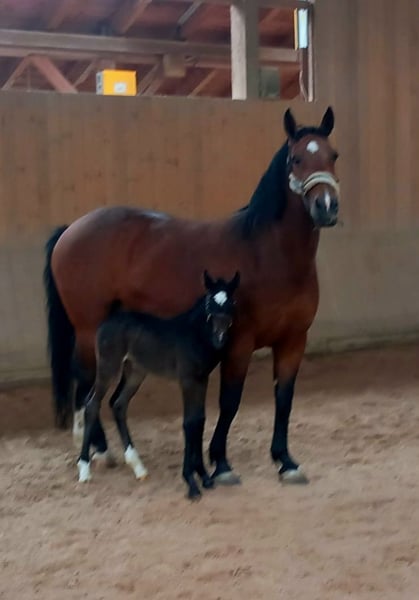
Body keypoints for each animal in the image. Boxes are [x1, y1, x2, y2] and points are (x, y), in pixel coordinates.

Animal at [77, 270, 240, 500]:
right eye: (210, 302)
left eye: (231, 303)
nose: (220, 339)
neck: (194, 333)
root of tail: (107, 321)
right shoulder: (187, 380)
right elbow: (189, 423)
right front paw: (191, 482)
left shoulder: (201, 380)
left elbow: (200, 420)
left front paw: (204, 477)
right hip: (108, 367)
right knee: (92, 404)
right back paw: (84, 469)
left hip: (135, 372)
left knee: (118, 404)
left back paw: (138, 467)